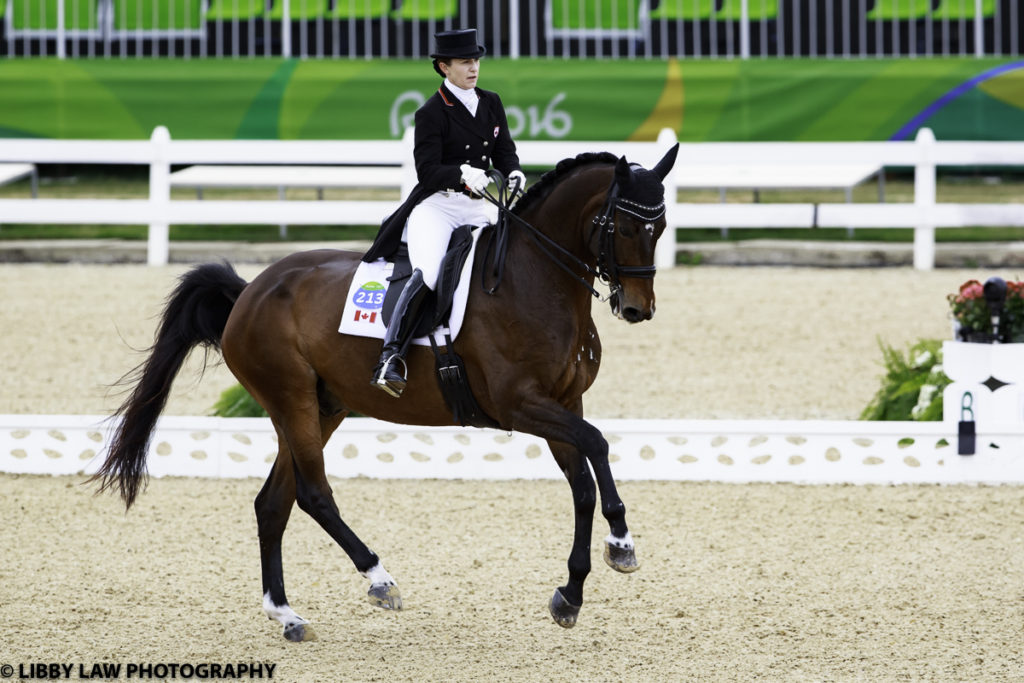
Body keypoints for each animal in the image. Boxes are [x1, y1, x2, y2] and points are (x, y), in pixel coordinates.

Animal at [94, 144, 679, 643]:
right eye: (626, 224)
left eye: (662, 226)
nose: (637, 308)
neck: (534, 279)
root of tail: (248, 293)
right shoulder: (520, 405)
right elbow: (598, 444)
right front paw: (621, 544)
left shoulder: (562, 404)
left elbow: (582, 484)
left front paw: (571, 594)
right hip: (292, 401)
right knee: (313, 495)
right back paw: (379, 580)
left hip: (324, 407)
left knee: (273, 503)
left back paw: (288, 616)